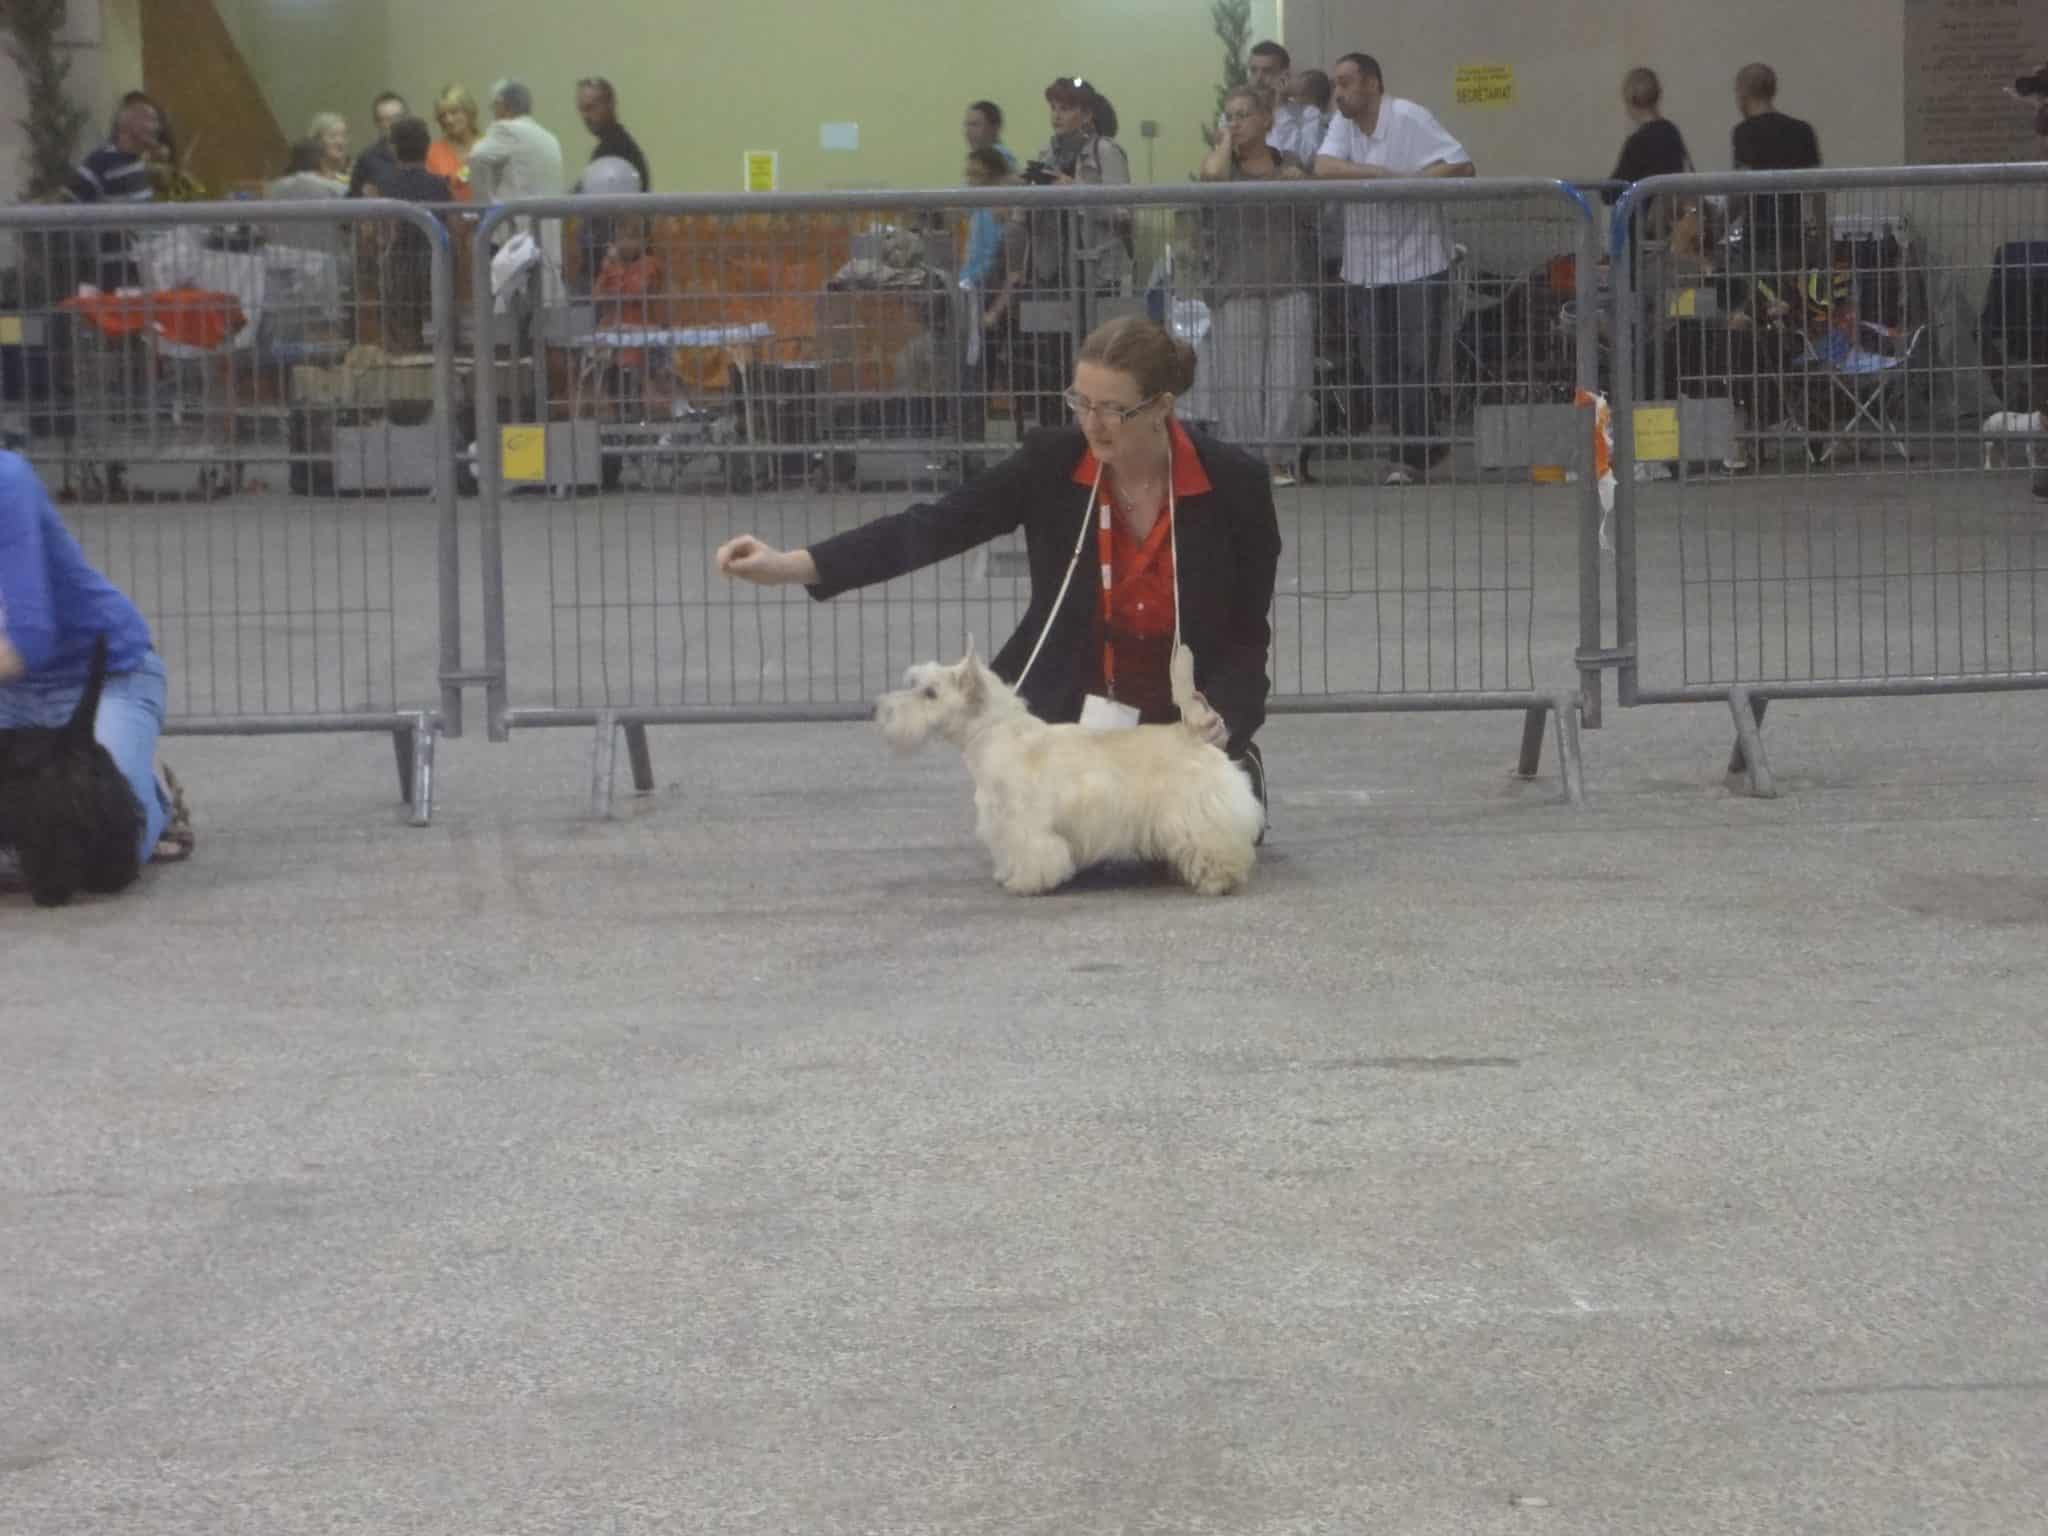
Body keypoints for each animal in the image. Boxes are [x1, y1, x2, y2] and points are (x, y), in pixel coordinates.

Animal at [0, 635, 144, 907]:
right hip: (108, 804)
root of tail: (75, 734)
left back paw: (50, 894)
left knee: (59, 856)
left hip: (52, 821)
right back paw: (108, 881)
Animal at [875, 643, 1264, 896]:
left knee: (1215, 843)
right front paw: (1007, 874)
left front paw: (1024, 882)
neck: (996, 733)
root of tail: (1193, 732)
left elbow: (1033, 851)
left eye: (930, 693)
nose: (881, 709)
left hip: (1196, 812)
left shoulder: (1025, 824)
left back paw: (1217, 880)